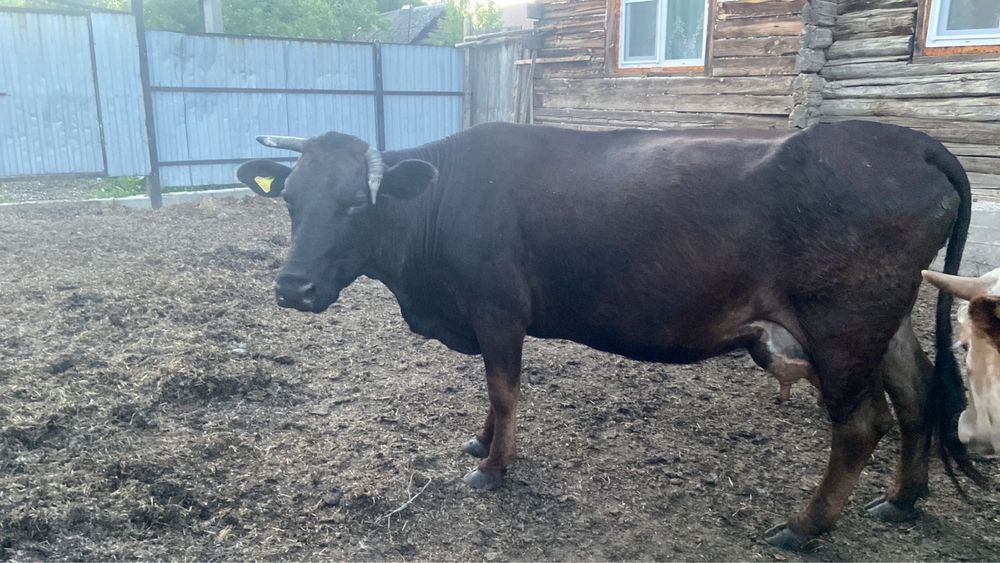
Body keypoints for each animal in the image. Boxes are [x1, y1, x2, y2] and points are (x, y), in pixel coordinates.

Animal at [236, 120, 982, 549]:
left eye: (353, 206)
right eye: (289, 200)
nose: (293, 288)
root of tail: (907, 140)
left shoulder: (498, 306)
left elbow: (504, 388)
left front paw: (493, 468)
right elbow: (492, 390)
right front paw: (481, 441)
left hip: (841, 324)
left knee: (860, 425)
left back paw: (804, 528)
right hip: (884, 319)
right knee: (916, 396)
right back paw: (902, 500)